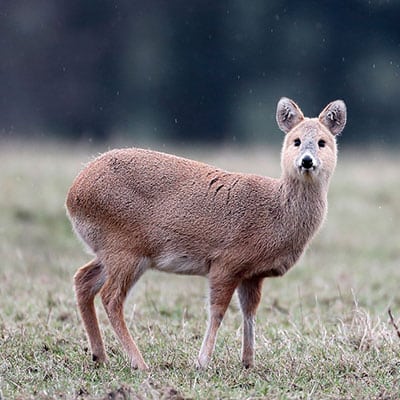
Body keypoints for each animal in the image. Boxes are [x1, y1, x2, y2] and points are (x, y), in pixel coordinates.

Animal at [66, 97, 346, 372]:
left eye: (322, 142)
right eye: (295, 140)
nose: (307, 160)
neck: (276, 211)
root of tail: (74, 193)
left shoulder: (252, 274)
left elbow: (249, 311)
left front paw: (248, 362)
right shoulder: (227, 262)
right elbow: (218, 311)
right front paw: (202, 361)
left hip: (112, 251)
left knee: (83, 280)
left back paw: (100, 356)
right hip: (125, 249)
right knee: (111, 298)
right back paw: (139, 363)